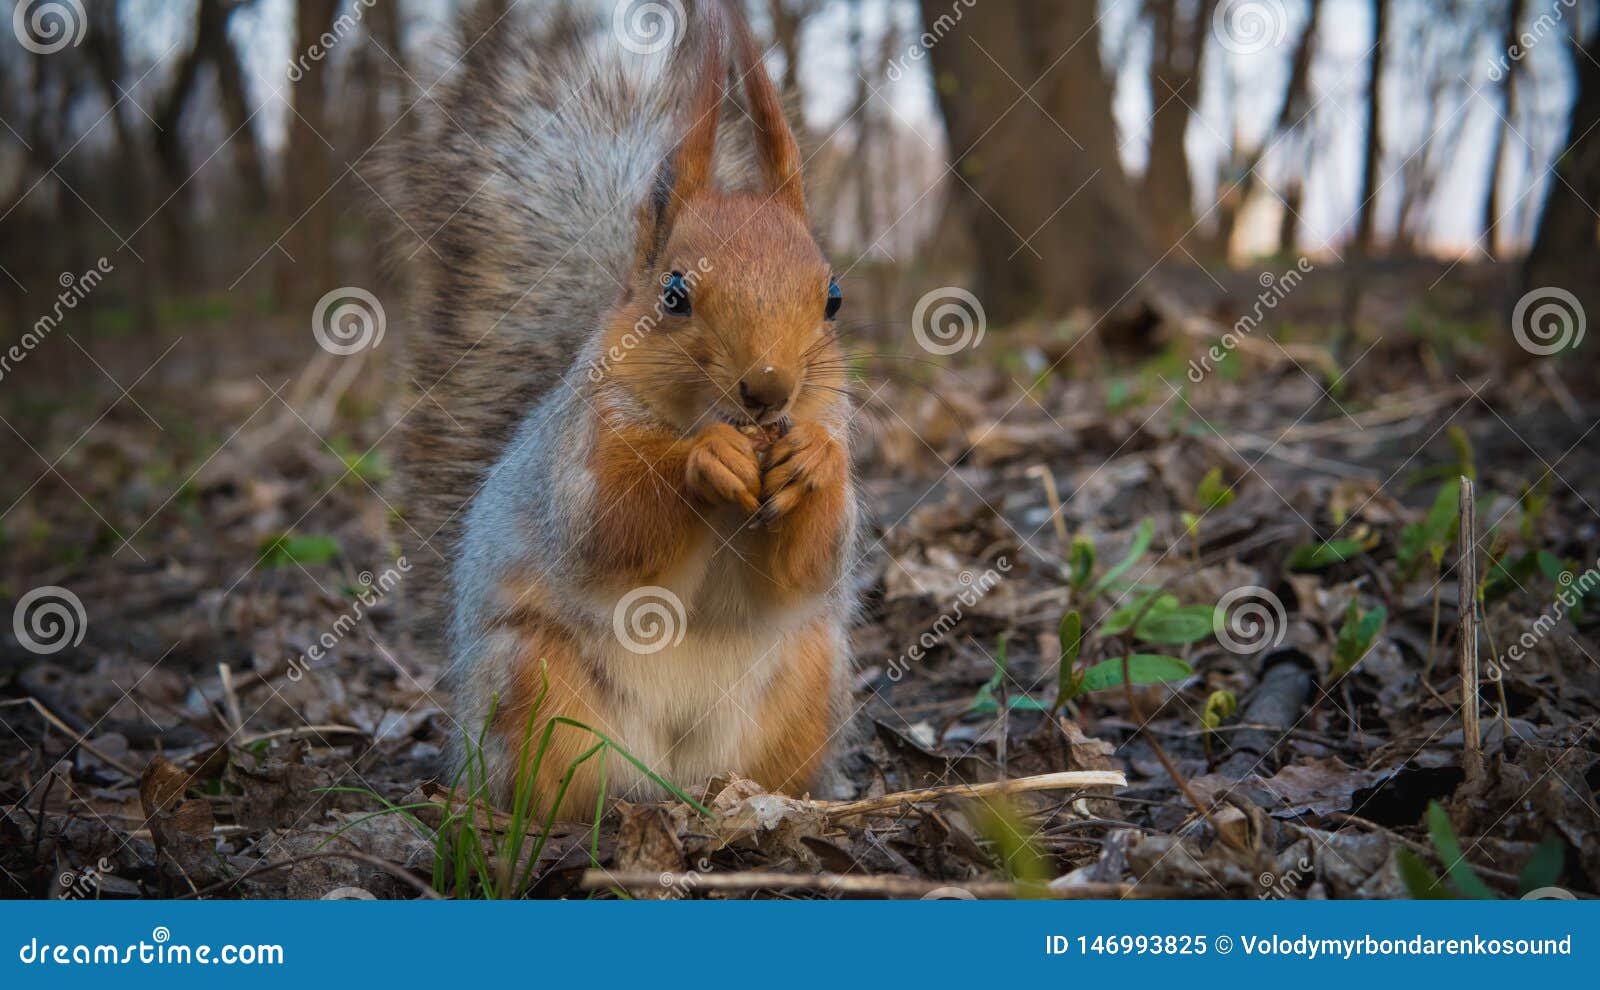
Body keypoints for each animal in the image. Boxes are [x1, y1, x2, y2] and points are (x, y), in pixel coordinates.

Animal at [384, 1, 862, 816]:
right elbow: (609, 529)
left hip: (806, 676)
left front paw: (813, 462)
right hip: (534, 683)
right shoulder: (585, 451)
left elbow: (811, 563)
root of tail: (675, 774)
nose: (769, 391)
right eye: (673, 294)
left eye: (832, 297)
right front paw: (704, 460)